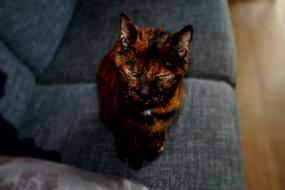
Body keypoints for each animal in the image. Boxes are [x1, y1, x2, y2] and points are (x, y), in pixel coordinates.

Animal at [96, 13, 192, 171]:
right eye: (134, 73)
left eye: (161, 76)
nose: (144, 93)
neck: (148, 110)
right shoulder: (123, 118)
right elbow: (131, 137)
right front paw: (135, 158)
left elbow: (157, 130)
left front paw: (154, 145)